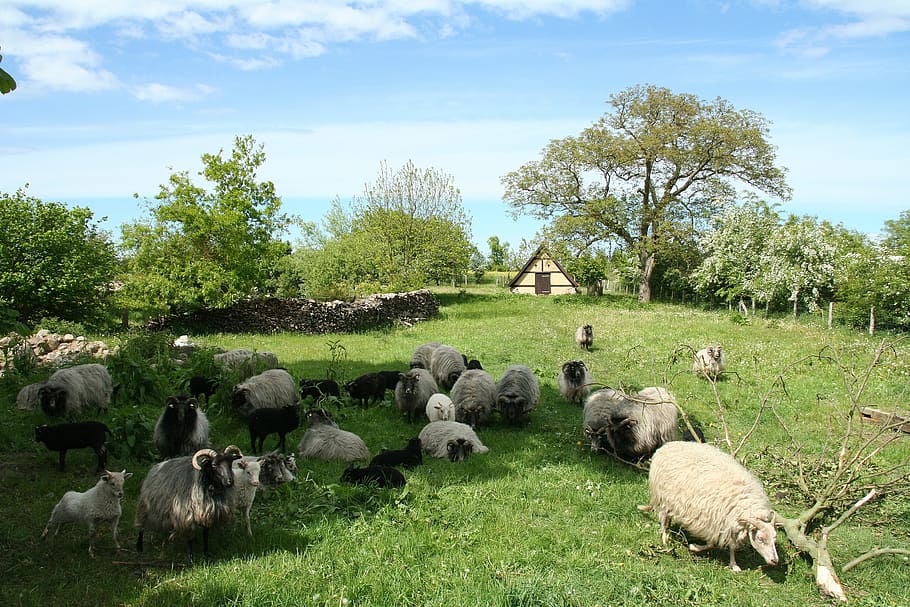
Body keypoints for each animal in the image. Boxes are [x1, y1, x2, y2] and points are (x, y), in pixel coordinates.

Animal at [640, 441, 779, 572]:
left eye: (774, 538)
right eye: (760, 539)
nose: (775, 561)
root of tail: (668, 445)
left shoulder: (729, 524)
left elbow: (731, 546)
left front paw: (734, 564)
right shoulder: (714, 523)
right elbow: (711, 544)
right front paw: (694, 547)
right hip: (663, 497)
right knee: (664, 519)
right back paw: (665, 539)